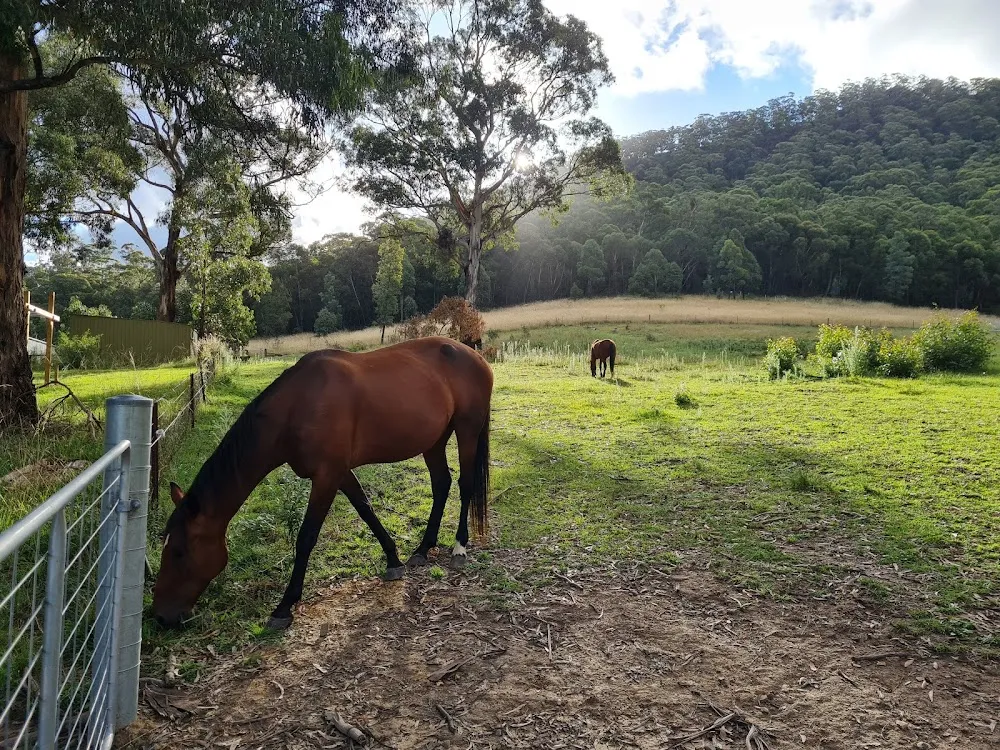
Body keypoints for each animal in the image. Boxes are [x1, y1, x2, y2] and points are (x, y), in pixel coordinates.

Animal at [152, 337, 493, 630]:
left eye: (179, 552)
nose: (161, 616)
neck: (298, 406)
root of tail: (476, 355)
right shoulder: (340, 473)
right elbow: (366, 510)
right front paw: (394, 560)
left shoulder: (327, 477)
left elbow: (306, 537)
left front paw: (284, 607)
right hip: (434, 440)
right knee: (441, 484)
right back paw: (423, 548)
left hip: (466, 430)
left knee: (464, 485)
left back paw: (459, 547)